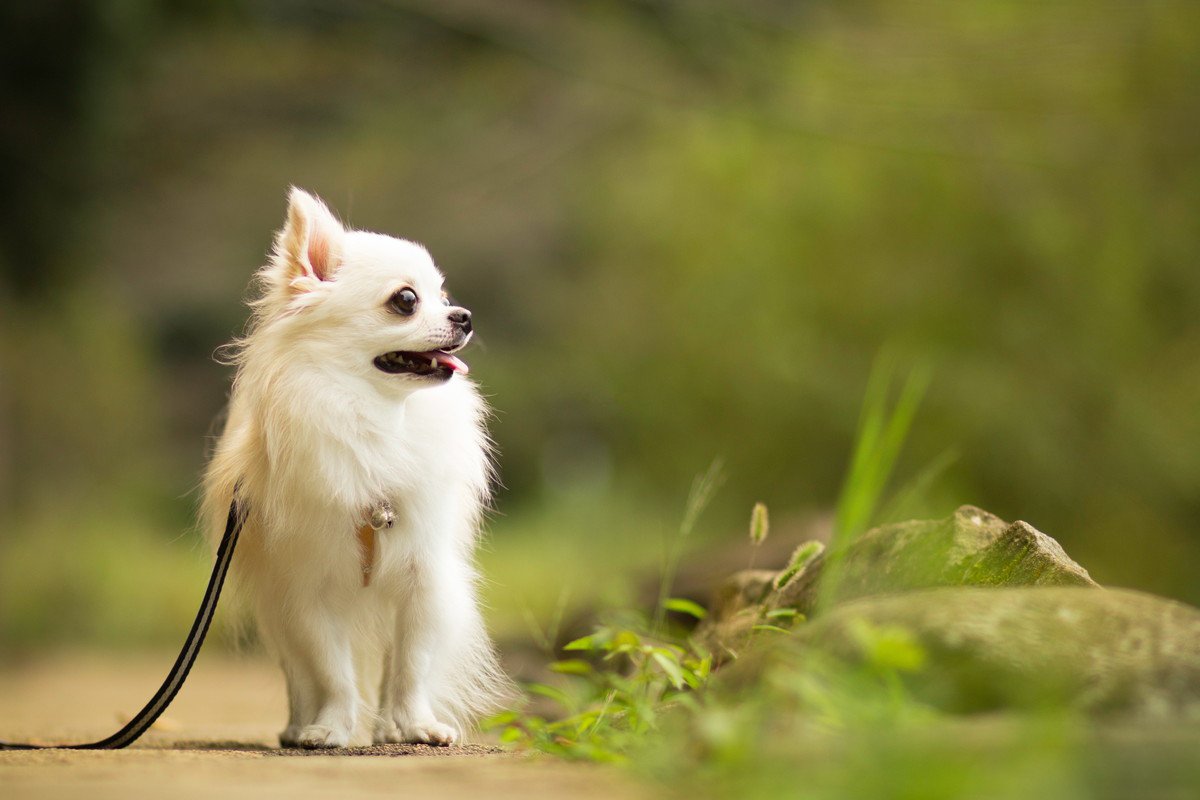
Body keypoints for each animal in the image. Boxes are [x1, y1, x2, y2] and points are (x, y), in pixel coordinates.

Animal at [202, 189, 511, 753]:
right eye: (406, 300)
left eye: (443, 294)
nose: (464, 315)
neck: (374, 418)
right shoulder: (307, 590)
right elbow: (331, 672)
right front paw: (330, 728)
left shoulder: (424, 578)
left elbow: (411, 665)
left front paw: (415, 725)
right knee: (298, 673)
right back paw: (299, 725)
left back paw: (389, 726)